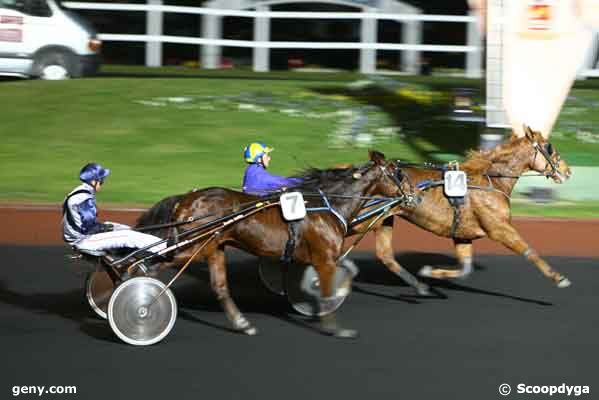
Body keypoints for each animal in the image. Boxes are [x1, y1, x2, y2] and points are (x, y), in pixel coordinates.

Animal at [138, 152, 406, 340]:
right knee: (148, 266)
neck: (328, 205)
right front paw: (336, 328)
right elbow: (327, 290)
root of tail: (185, 199)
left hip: (214, 248)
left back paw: (243, 324)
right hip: (191, 247)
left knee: (220, 288)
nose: (410, 194)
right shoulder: (325, 258)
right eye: (397, 172)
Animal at [350, 126, 576, 290]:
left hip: (383, 220)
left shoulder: (463, 235)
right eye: (549, 147)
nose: (567, 171)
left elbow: (465, 269)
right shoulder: (500, 229)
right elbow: (530, 251)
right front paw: (558, 277)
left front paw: (432, 272)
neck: (491, 181)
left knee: (385, 255)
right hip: (360, 221)